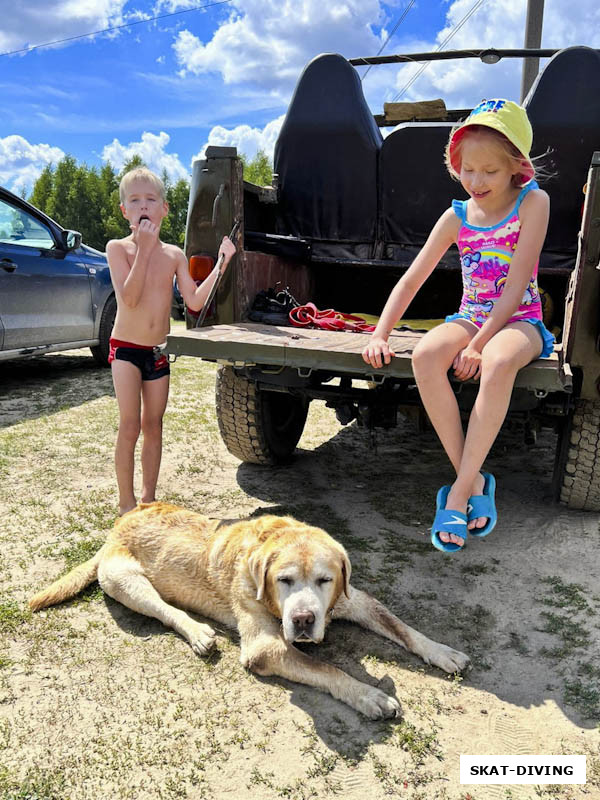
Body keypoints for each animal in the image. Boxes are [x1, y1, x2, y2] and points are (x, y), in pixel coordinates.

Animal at [30, 500, 472, 720]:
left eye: (325, 580)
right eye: (284, 580)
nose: (304, 620)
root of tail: (115, 527)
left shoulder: (352, 599)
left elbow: (399, 624)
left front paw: (441, 651)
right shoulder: (265, 646)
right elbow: (327, 668)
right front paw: (369, 695)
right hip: (127, 583)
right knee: (165, 611)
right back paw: (199, 633)